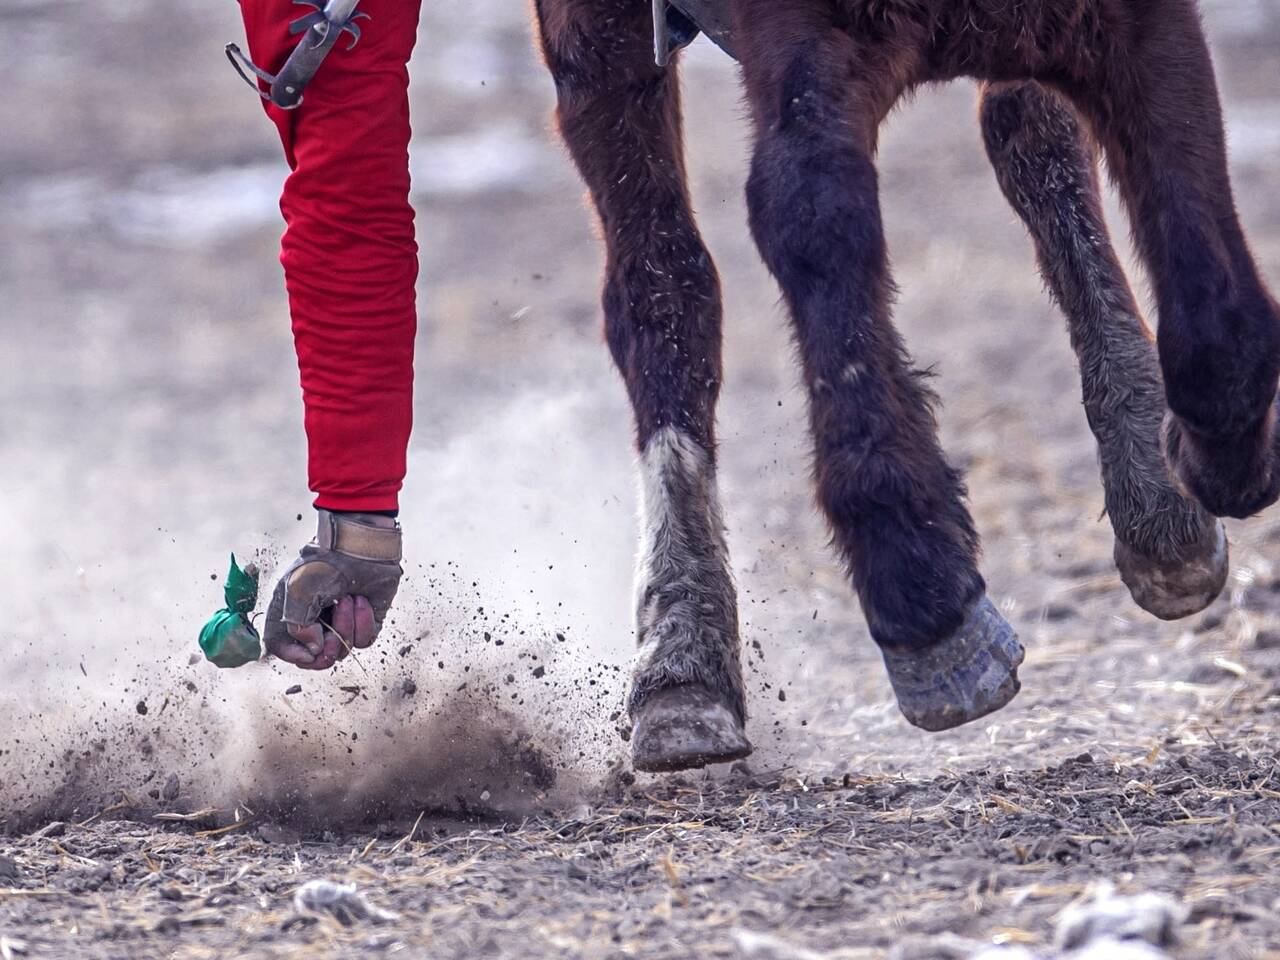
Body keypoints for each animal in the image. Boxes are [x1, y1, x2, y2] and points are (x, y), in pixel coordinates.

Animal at [524, 0, 1274, 773]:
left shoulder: (1138, 24)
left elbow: (1211, 307)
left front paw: (1191, 473)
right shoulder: (801, 54)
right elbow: (809, 218)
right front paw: (923, 594)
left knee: (1033, 135)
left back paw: (1156, 502)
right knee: (660, 276)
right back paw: (682, 659)